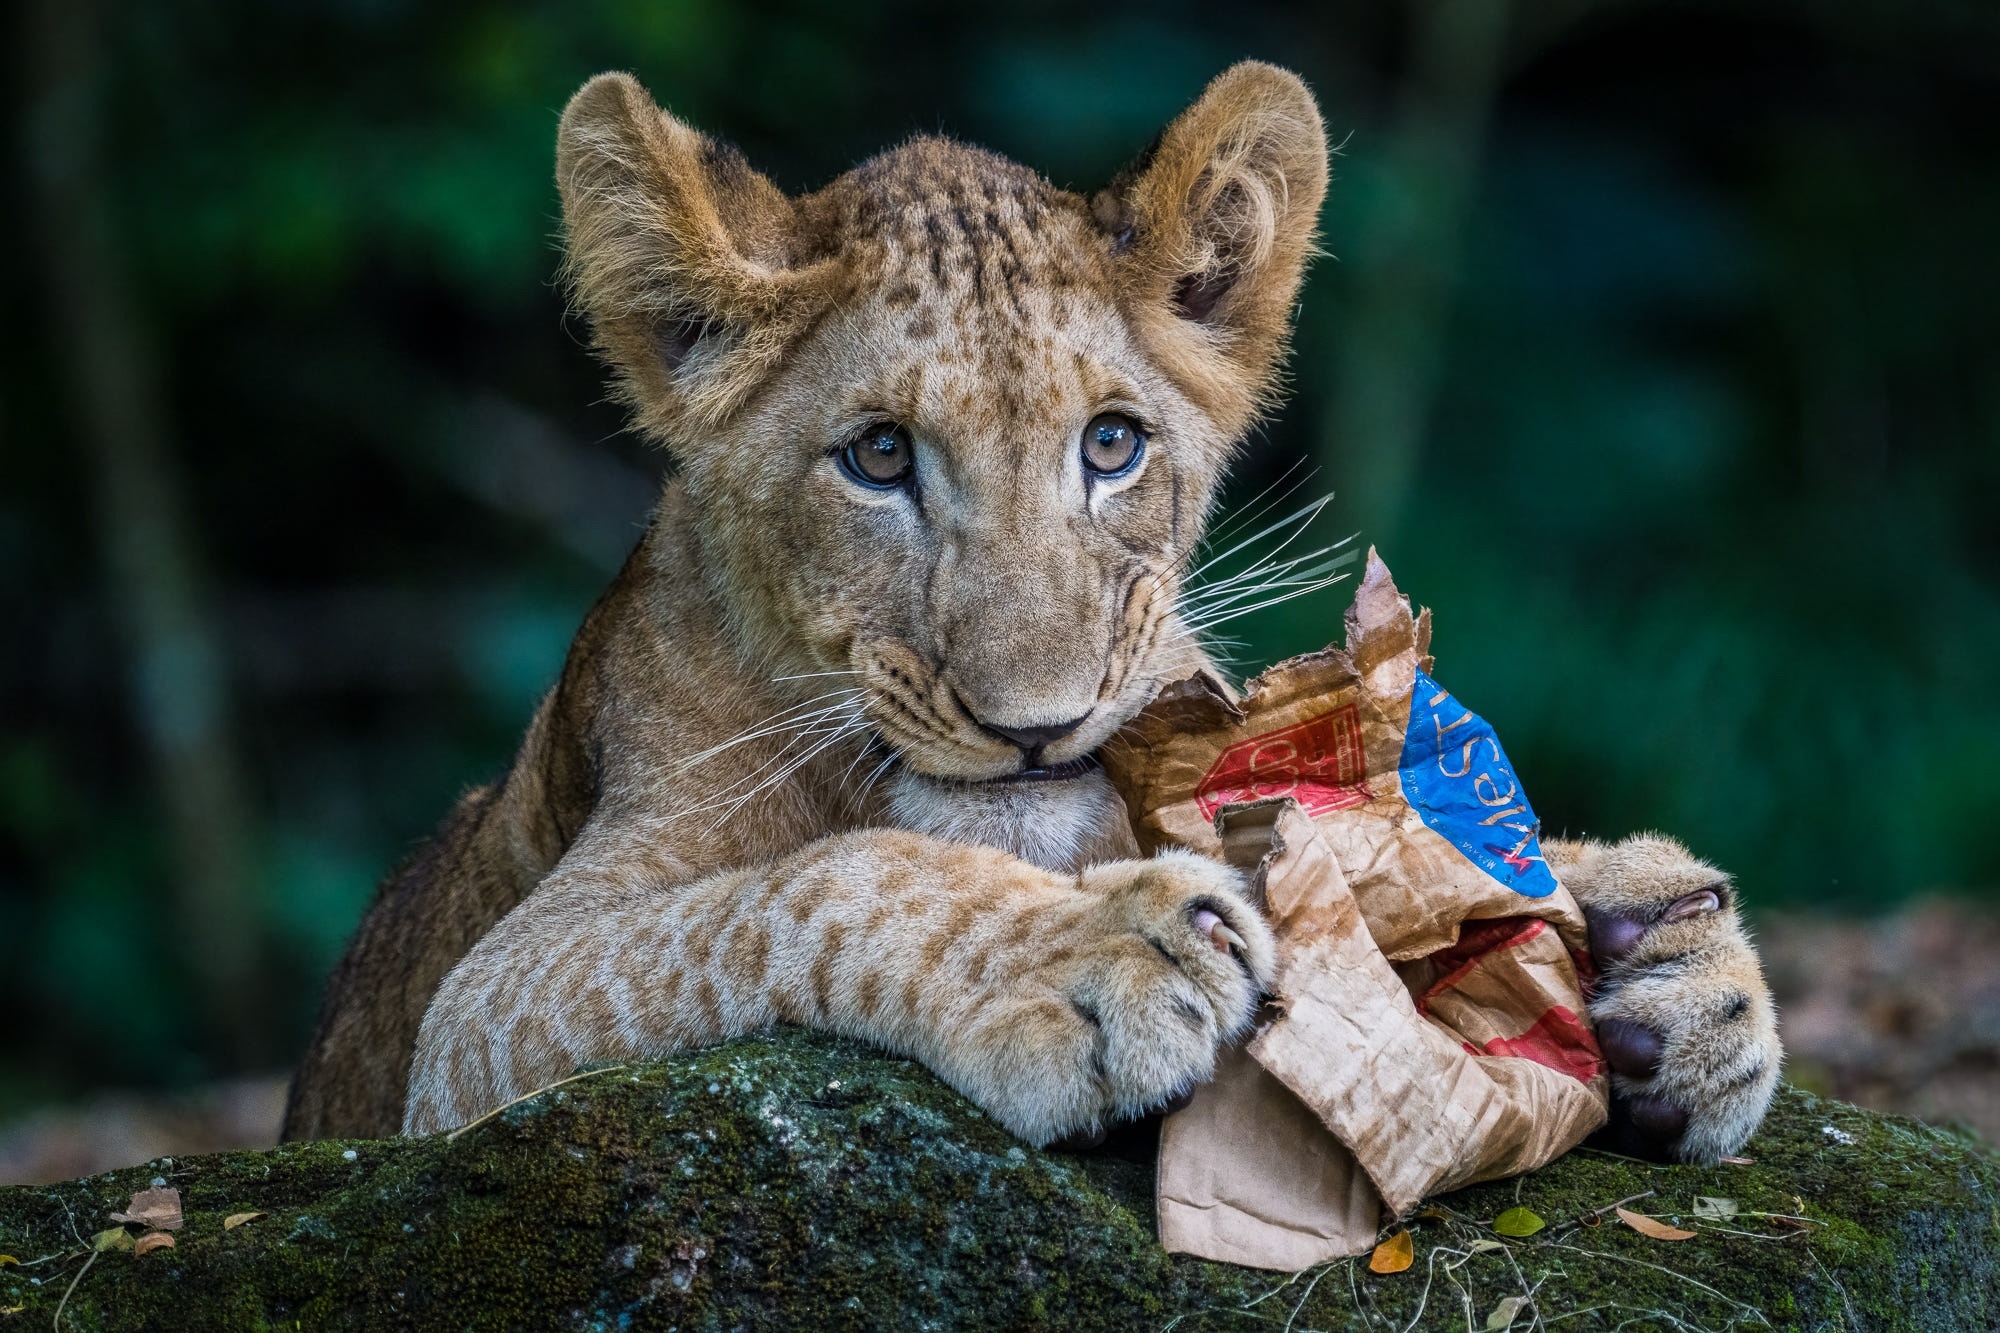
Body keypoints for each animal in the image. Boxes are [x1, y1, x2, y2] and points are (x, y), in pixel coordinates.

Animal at [282, 62, 1779, 1164]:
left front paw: (1662, 957)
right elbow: (812, 881)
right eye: (879, 457)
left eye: (1110, 446)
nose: (1035, 726)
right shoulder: (479, 1017)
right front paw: (1092, 957)